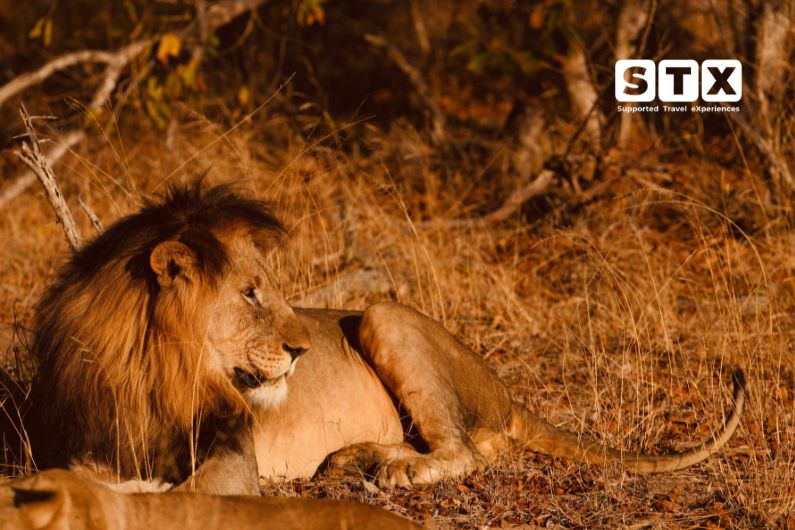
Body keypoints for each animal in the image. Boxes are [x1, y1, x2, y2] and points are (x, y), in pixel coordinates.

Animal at [26, 182, 748, 490]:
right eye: (250, 293)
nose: (302, 350)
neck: (154, 371)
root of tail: (510, 395)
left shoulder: (234, 452)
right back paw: (355, 458)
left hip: (382, 316)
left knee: (465, 451)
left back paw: (390, 470)